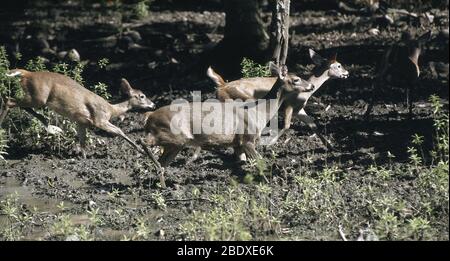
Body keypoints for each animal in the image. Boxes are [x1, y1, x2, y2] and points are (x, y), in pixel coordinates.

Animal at [0, 68, 158, 160]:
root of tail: (27, 73)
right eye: (142, 96)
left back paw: (49, 125)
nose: (153, 105)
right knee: (9, 100)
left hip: (35, 97)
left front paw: (84, 158)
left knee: (16, 103)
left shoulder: (81, 122)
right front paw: (141, 150)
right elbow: (119, 130)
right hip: (38, 97)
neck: (111, 109)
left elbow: (82, 141)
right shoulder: (99, 119)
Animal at [141, 62, 312, 178]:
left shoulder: (237, 143)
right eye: (296, 79)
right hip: (174, 136)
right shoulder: (247, 138)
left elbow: (241, 161)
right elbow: (260, 161)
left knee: (162, 161)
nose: (310, 85)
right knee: (144, 142)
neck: (259, 112)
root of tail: (150, 117)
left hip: (174, 143)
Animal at [207, 49, 352, 150]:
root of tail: (221, 87)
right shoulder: (289, 105)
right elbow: (287, 125)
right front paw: (269, 144)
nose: (347, 73)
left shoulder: (299, 109)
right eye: (339, 65)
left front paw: (330, 146)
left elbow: (313, 124)